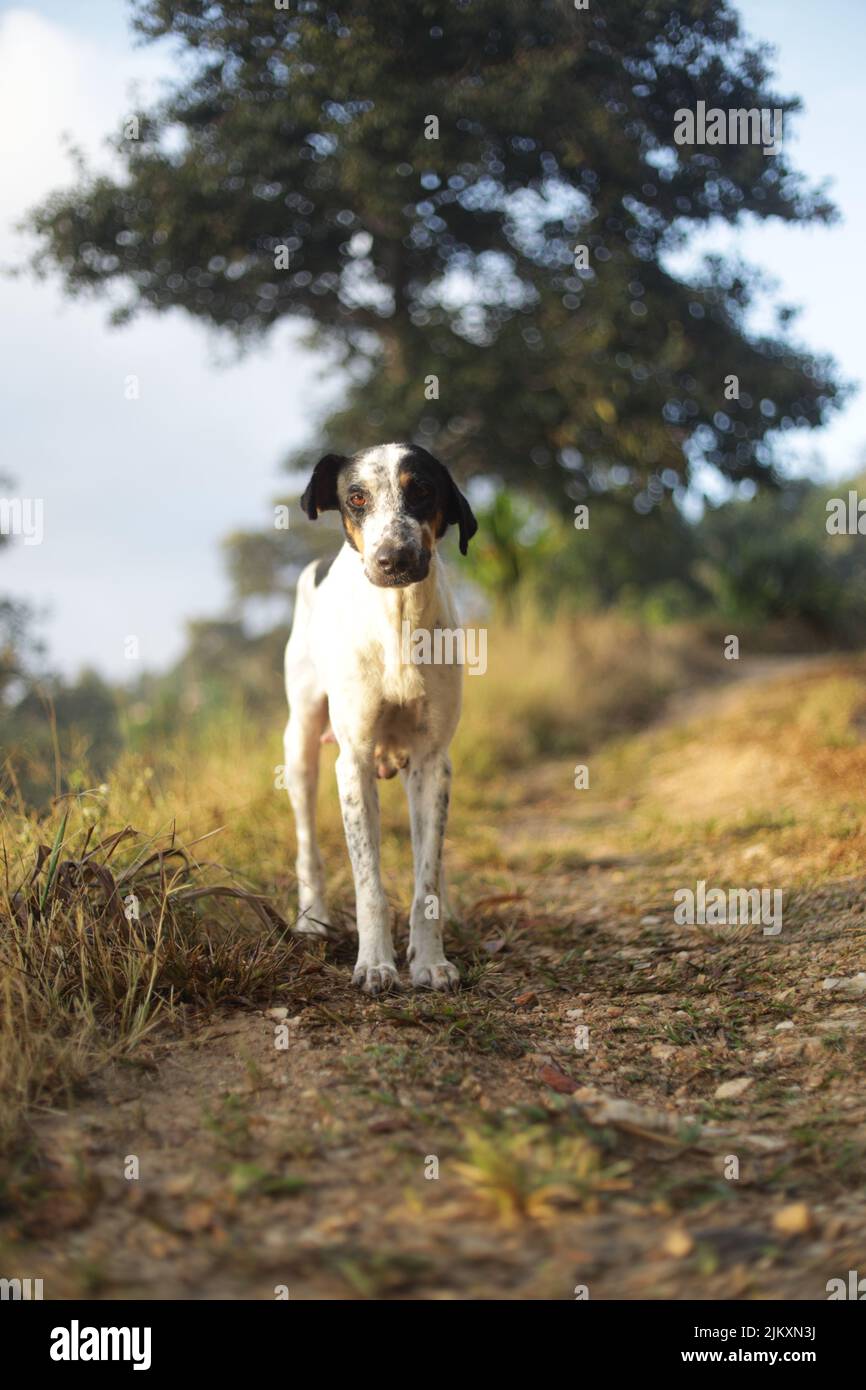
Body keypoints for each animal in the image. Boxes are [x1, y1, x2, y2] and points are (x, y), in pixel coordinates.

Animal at [283, 439, 478, 995]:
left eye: (423, 490)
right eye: (357, 497)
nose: (395, 558)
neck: (398, 619)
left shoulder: (434, 762)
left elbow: (426, 875)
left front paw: (430, 959)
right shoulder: (353, 763)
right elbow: (369, 882)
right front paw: (374, 963)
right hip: (300, 747)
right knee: (307, 845)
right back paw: (312, 919)